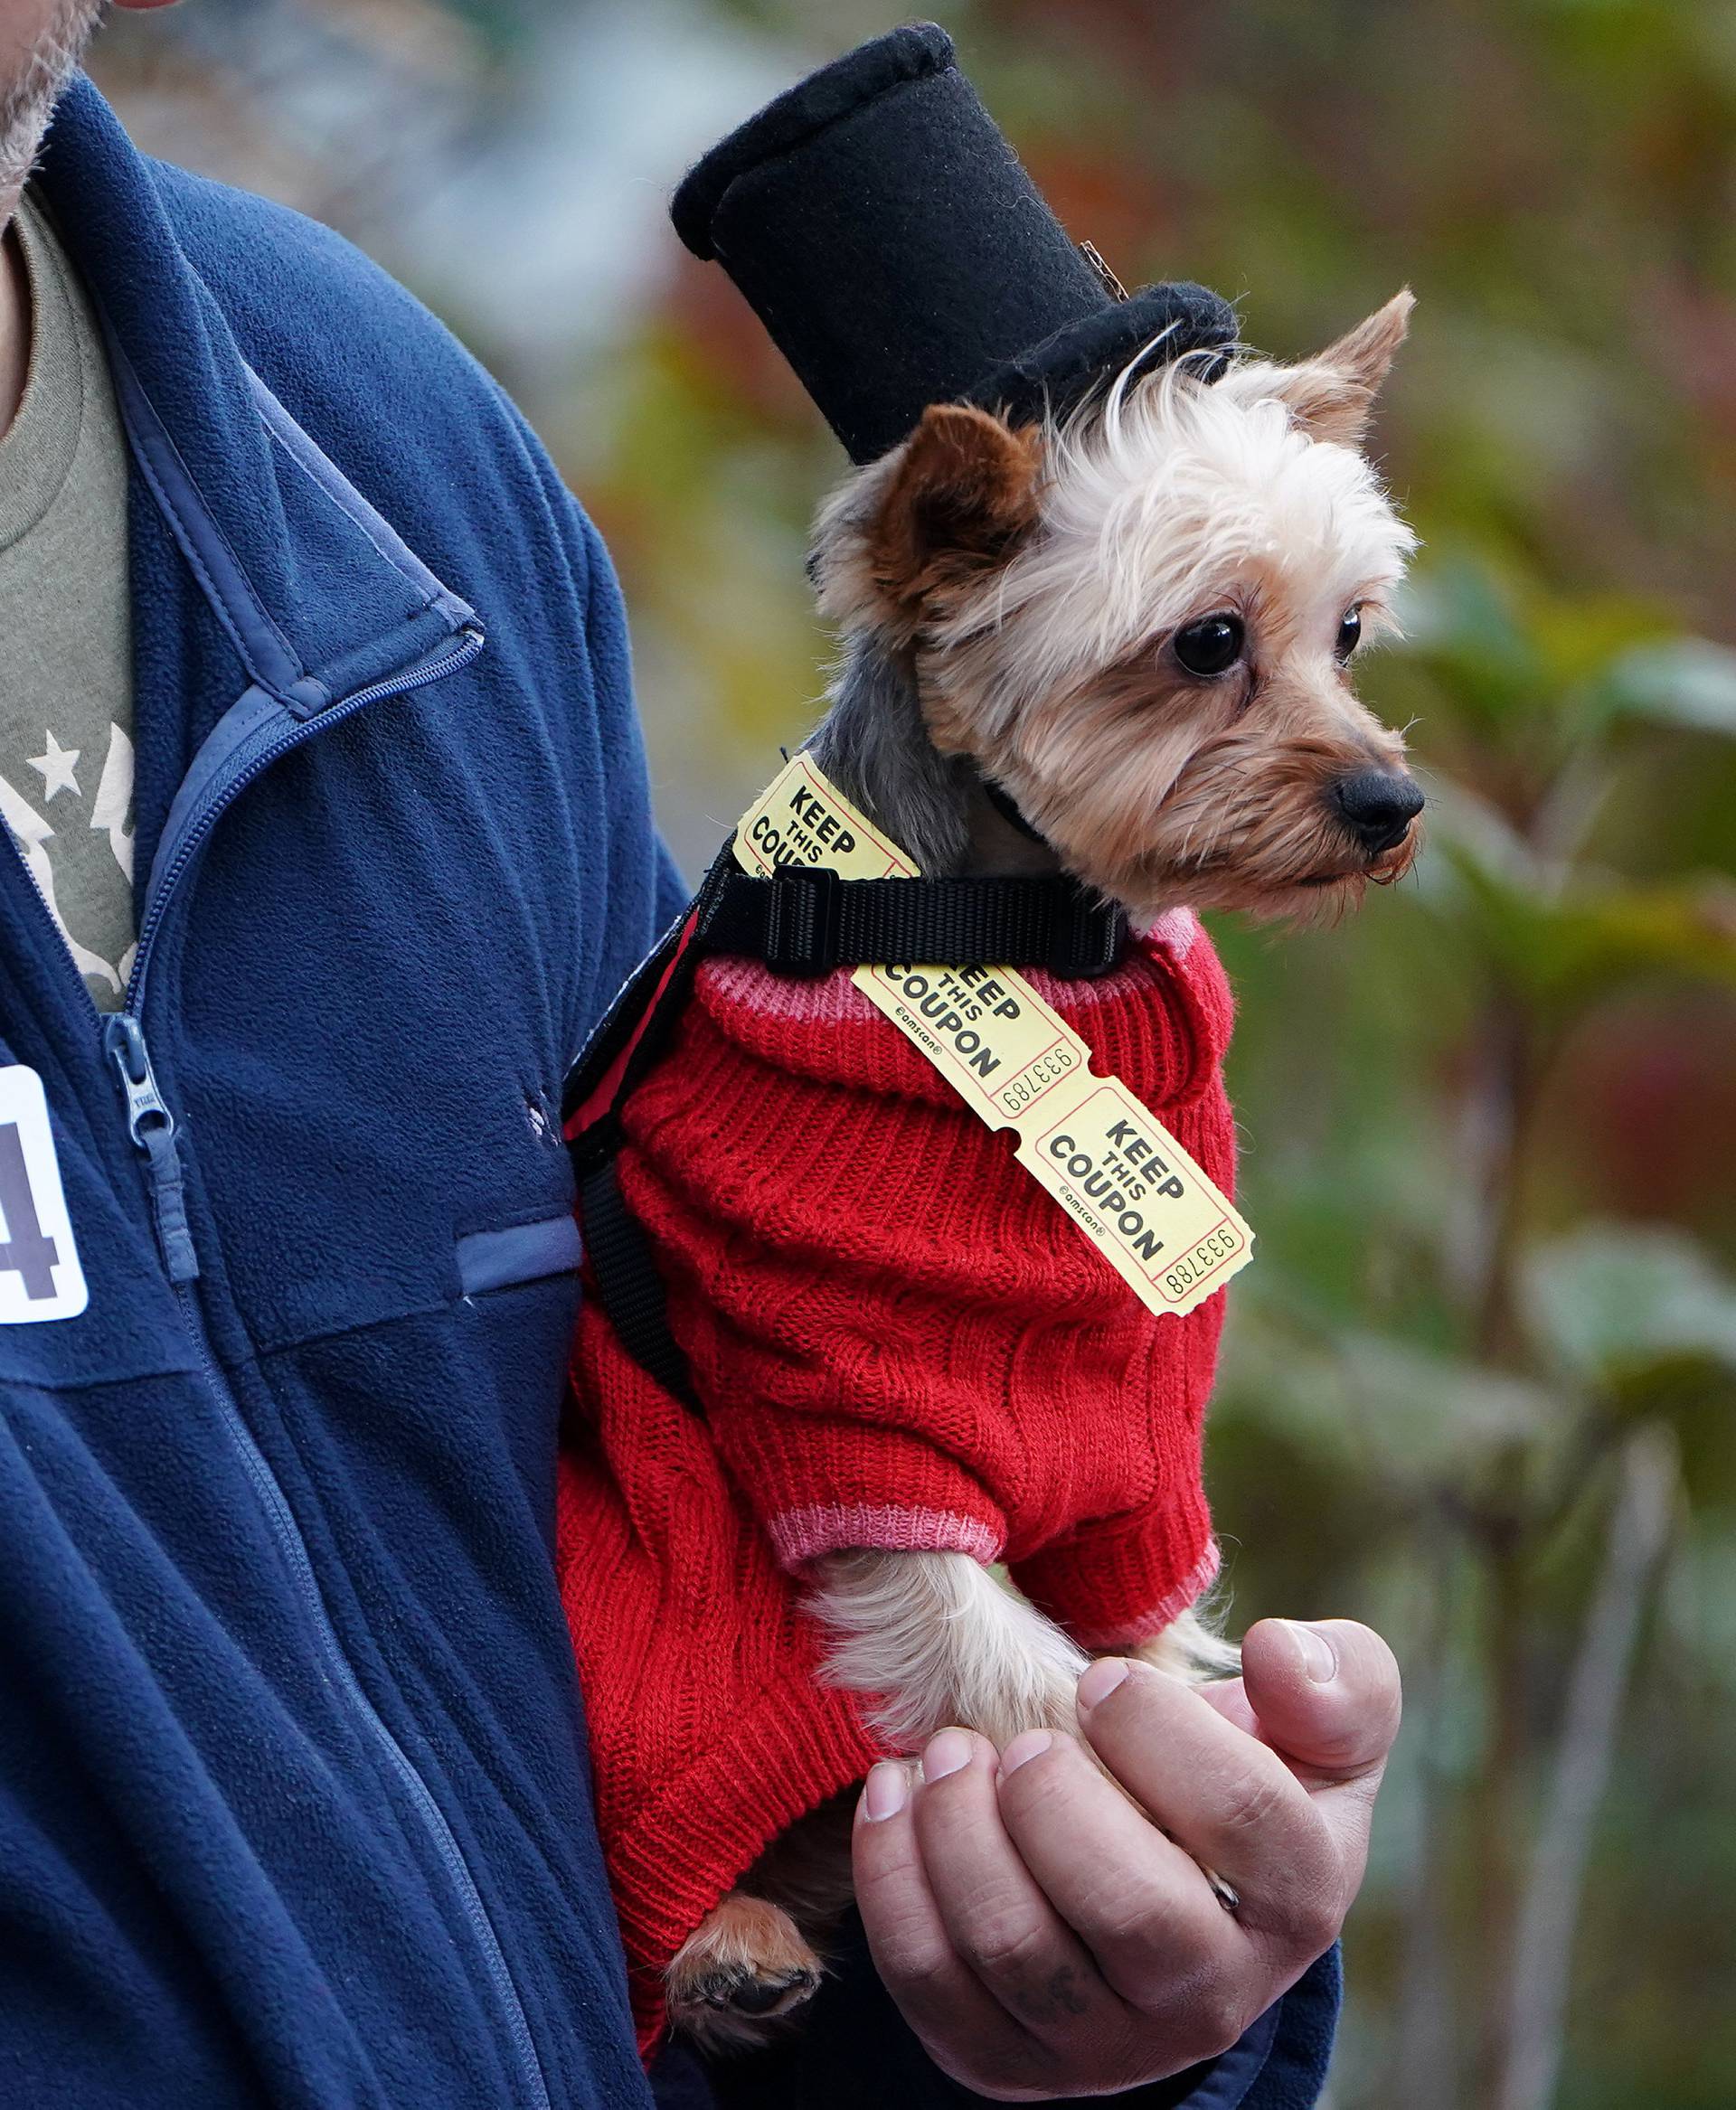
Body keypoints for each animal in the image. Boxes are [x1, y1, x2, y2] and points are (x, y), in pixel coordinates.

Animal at [556, 24, 1426, 2050]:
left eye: (1352, 634)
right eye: (1205, 643)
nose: (1388, 805)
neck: (1017, 946)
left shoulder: (1136, 1467)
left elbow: (1133, 1632)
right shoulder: (861, 1440)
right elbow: (1025, 1689)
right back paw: (729, 1937)